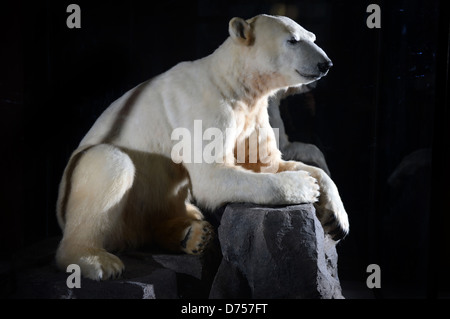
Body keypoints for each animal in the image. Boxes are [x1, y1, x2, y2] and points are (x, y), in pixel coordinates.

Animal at [55, 15, 348, 280]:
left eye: (312, 37)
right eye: (292, 40)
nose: (326, 64)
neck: (230, 82)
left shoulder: (252, 114)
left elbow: (269, 163)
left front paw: (337, 219)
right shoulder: (206, 109)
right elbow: (212, 174)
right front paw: (304, 185)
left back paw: (194, 234)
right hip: (89, 188)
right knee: (110, 163)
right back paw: (96, 260)